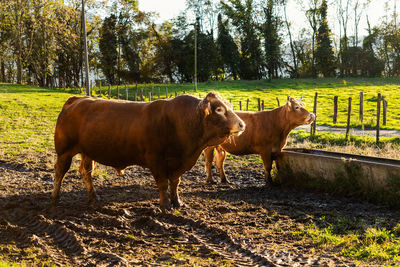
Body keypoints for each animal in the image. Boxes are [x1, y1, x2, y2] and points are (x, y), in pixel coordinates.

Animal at [50, 93, 244, 213]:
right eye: (219, 109)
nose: (242, 124)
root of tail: (77, 99)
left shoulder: (179, 163)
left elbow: (175, 183)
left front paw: (177, 202)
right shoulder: (155, 160)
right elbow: (163, 184)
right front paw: (165, 205)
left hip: (87, 152)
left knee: (86, 172)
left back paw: (93, 196)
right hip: (64, 151)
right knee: (60, 171)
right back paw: (55, 198)